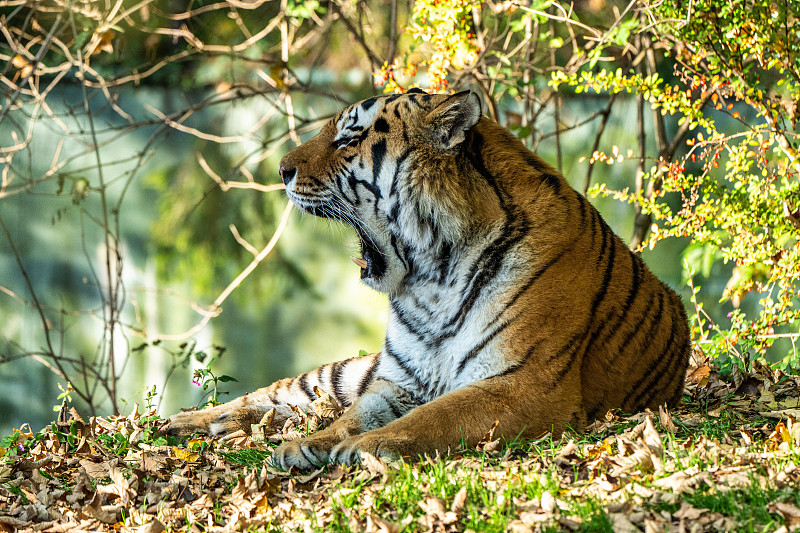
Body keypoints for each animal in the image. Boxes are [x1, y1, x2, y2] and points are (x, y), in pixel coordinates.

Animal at [166, 88, 692, 470]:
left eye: (348, 139)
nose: (281, 170)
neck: (432, 279)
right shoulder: (398, 380)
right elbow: (353, 416)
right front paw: (308, 445)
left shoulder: (528, 383)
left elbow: (437, 416)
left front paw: (363, 447)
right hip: (343, 373)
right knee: (273, 394)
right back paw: (187, 422)